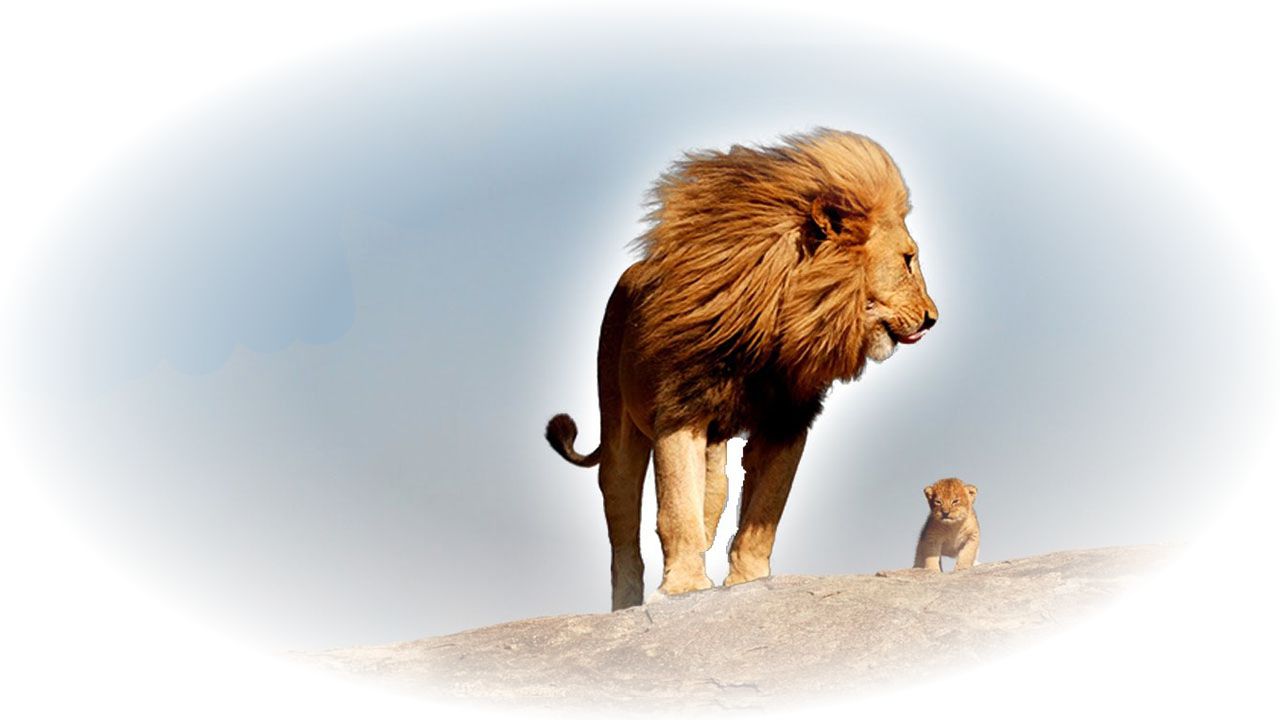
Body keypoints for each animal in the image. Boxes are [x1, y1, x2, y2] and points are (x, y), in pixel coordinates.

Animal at [546, 129, 939, 610]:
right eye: (907, 260)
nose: (932, 318)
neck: (777, 324)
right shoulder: (680, 413)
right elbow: (676, 510)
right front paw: (684, 588)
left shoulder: (787, 423)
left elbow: (763, 514)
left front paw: (748, 581)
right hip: (619, 439)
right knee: (625, 541)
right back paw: (628, 604)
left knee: (712, 499)